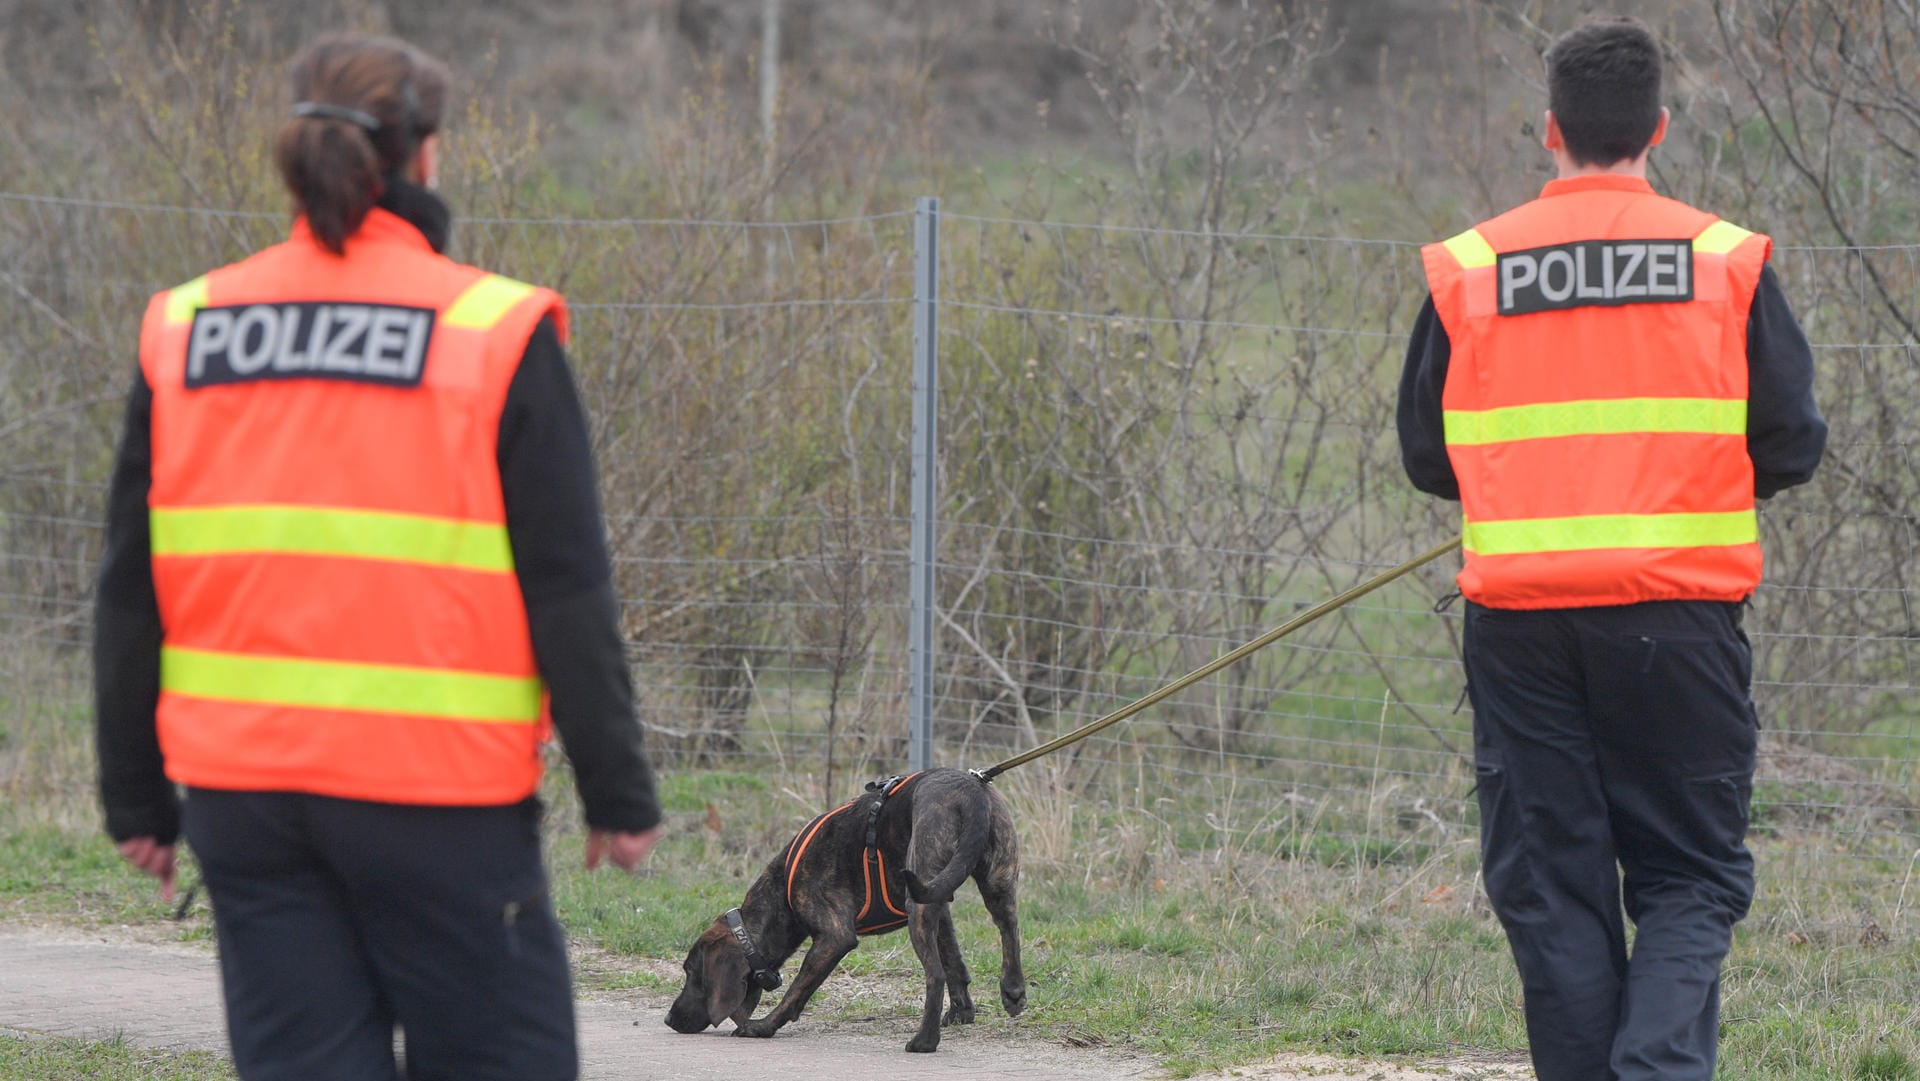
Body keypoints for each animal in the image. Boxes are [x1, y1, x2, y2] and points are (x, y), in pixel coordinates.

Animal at [664, 768, 1029, 1059]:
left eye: (690, 972)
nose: (668, 1019)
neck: (781, 894)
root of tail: (970, 790)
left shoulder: (834, 937)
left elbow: (797, 990)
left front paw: (763, 1026)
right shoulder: (941, 906)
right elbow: (955, 962)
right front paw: (961, 1013)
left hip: (920, 901)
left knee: (934, 974)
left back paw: (924, 1042)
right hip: (991, 884)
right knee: (1009, 930)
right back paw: (1012, 991)